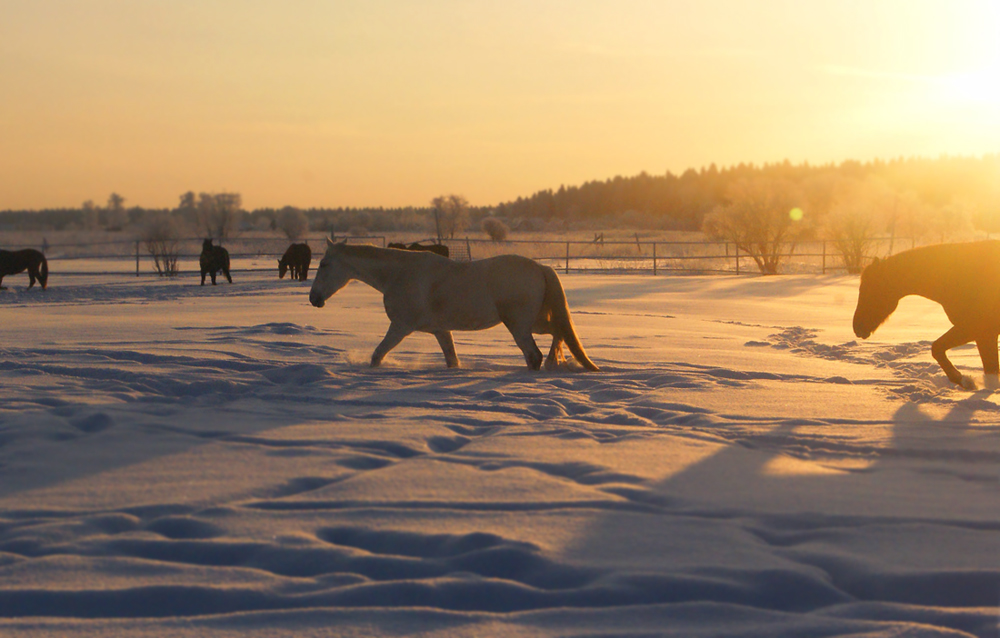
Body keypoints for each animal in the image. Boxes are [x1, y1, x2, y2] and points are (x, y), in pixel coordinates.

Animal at [308, 238, 596, 372]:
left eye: (323, 264)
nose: (314, 299)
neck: (399, 274)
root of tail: (540, 267)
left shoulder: (400, 327)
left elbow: (377, 356)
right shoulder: (440, 330)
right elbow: (452, 360)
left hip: (519, 326)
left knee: (534, 354)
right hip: (533, 322)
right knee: (559, 332)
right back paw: (555, 363)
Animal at [852, 240, 1000, 390]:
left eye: (871, 289)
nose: (857, 327)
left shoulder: (974, 329)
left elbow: (936, 348)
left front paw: (963, 380)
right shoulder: (984, 335)